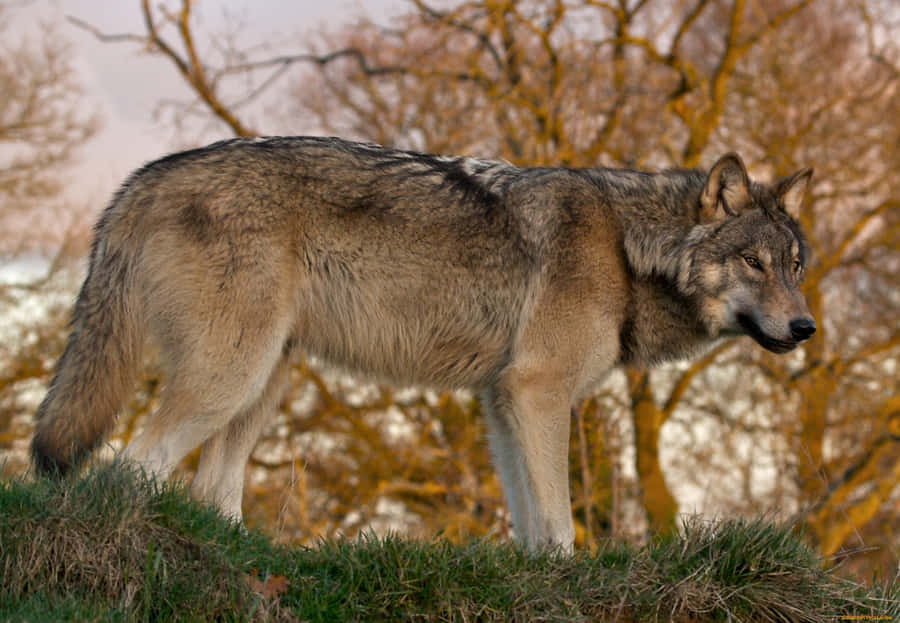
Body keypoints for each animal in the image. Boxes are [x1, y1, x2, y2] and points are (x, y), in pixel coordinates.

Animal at [31, 136, 815, 552]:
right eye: (754, 263)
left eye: (796, 267)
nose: (806, 327)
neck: (628, 250)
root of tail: (141, 178)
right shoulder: (537, 391)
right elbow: (560, 523)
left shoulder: (502, 400)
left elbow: (530, 520)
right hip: (229, 377)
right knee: (128, 468)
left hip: (264, 381)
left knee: (211, 488)